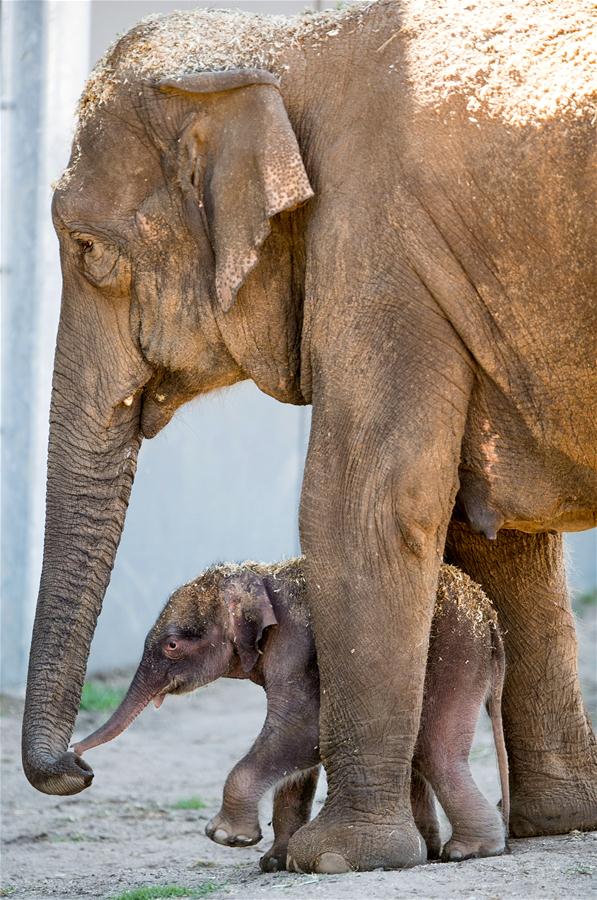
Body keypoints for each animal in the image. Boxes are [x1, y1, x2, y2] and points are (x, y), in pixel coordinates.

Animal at [72, 564, 506, 872]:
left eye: (173, 645)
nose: (77, 756)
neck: (261, 576)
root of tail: (488, 613)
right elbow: (298, 757)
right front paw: (273, 863)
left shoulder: (295, 644)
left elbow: (305, 728)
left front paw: (227, 837)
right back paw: (437, 849)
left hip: (458, 655)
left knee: (435, 749)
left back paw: (467, 852)